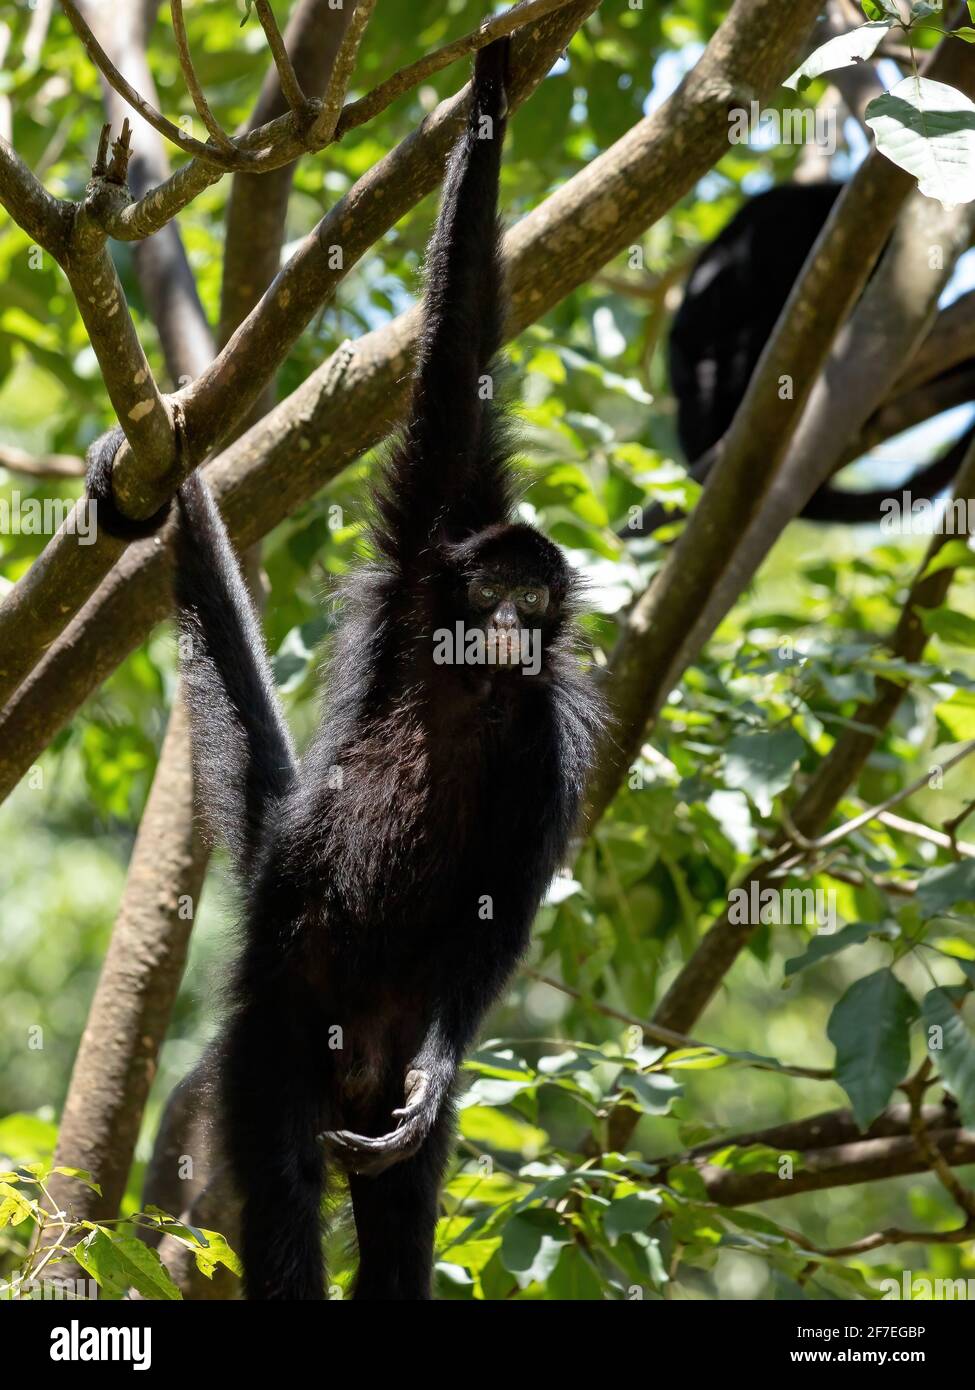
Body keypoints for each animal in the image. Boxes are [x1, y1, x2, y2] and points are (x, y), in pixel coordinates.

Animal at [87, 39, 603, 1301]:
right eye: (493, 592)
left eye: (534, 604)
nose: (510, 622)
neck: (478, 686)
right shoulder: (430, 555)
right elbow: (453, 369)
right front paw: (489, 97)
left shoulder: (548, 740)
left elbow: (505, 897)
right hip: (276, 1039)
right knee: (278, 1193)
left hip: (369, 1077)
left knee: (398, 1199)